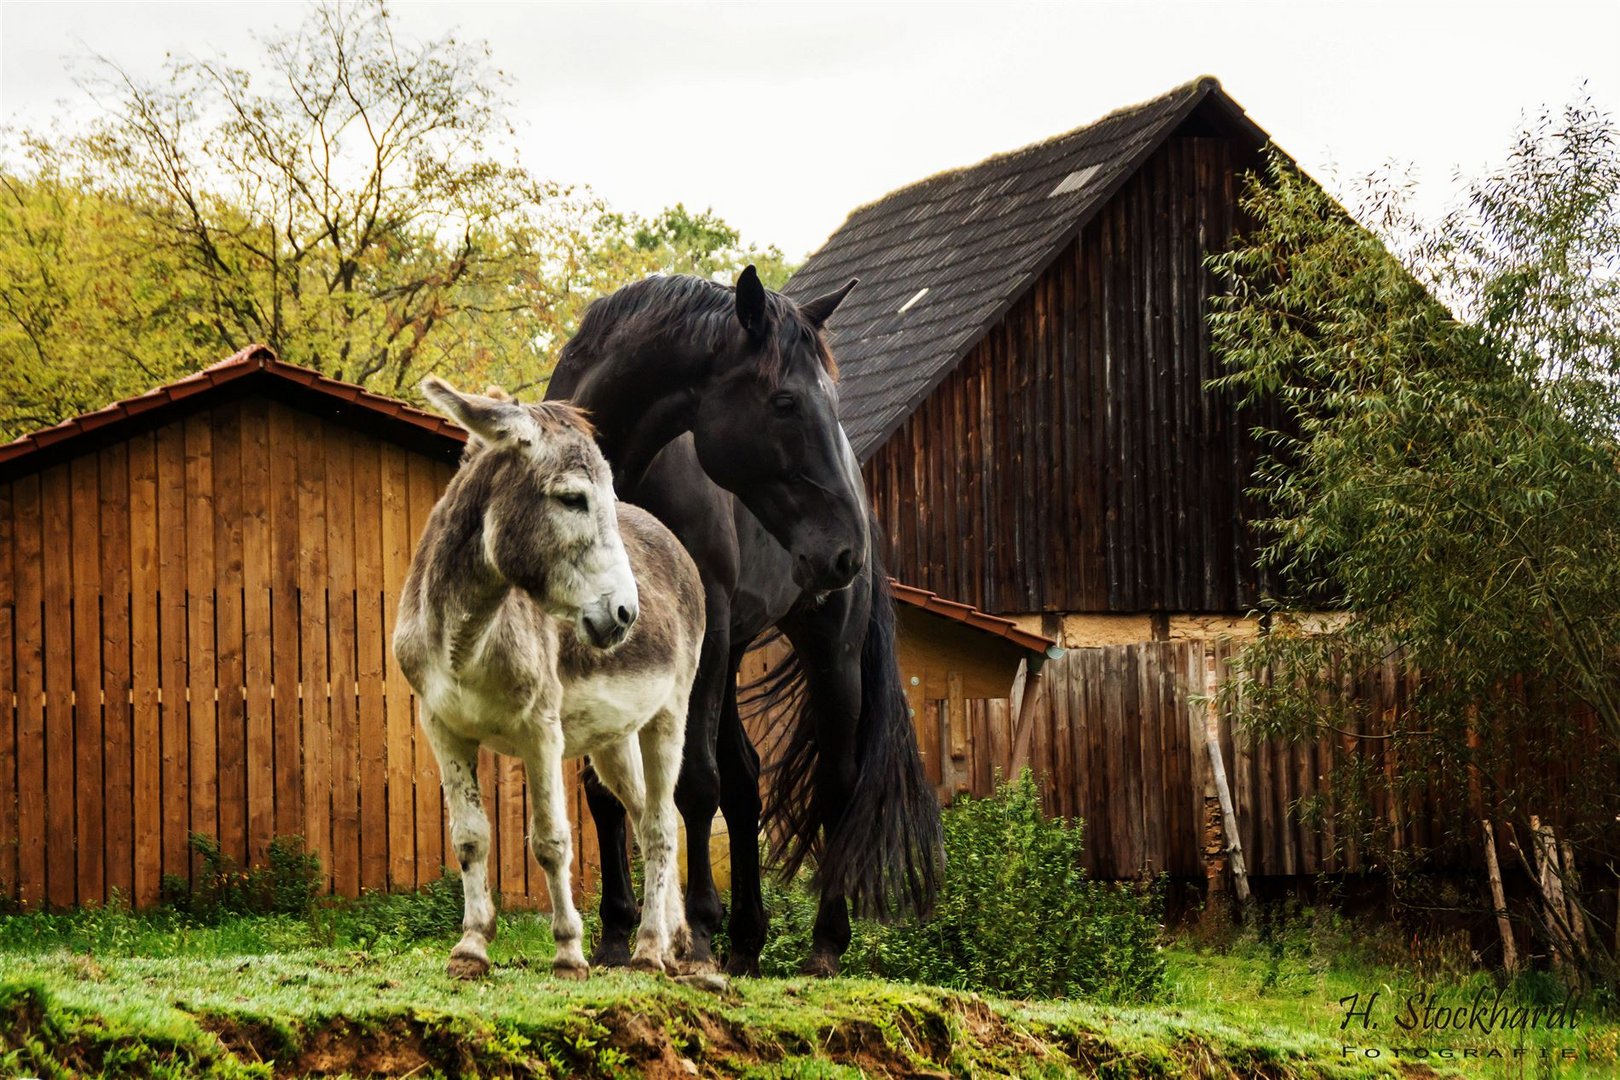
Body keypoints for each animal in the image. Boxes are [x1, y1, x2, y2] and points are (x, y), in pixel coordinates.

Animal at [547, 268, 946, 971]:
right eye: (785, 401)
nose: (844, 551)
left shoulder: (701, 643)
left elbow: (694, 785)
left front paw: (697, 932)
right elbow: (604, 791)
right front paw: (618, 934)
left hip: (825, 653)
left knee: (834, 784)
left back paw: (822, 945)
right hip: (729, 654)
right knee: (747, 779)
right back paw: (747, 943)